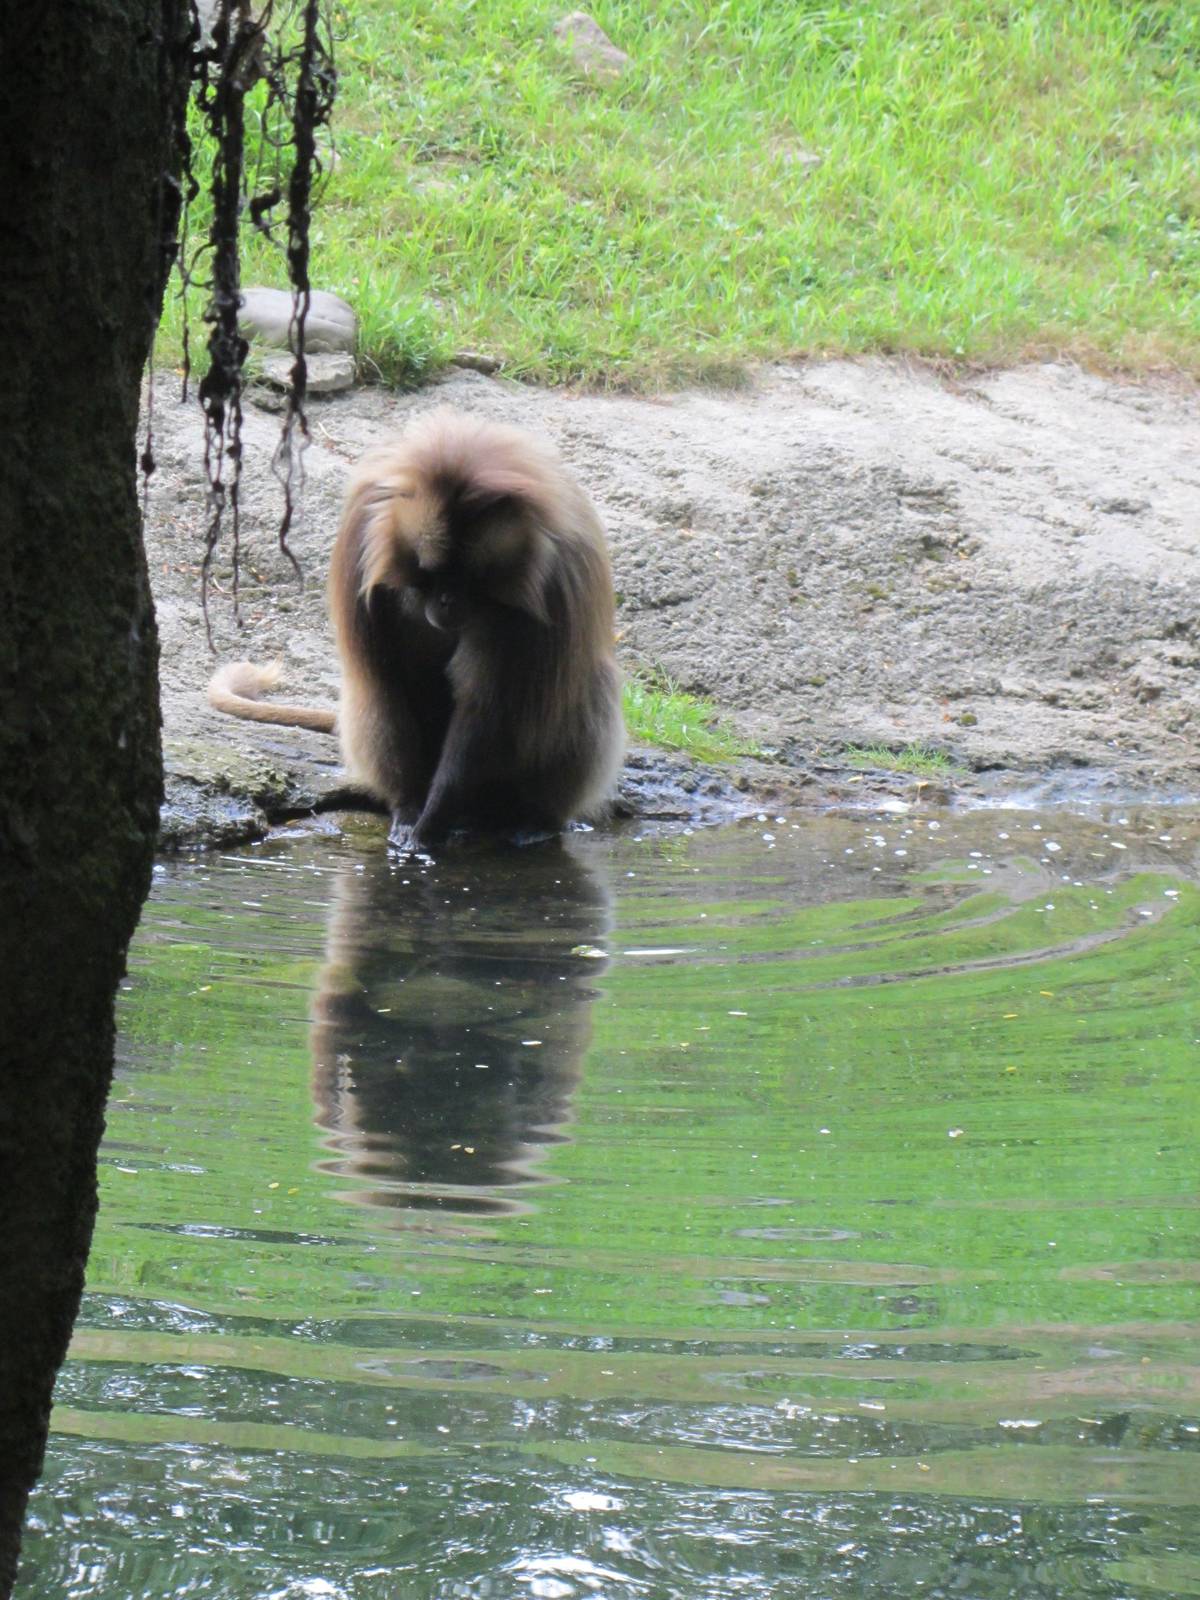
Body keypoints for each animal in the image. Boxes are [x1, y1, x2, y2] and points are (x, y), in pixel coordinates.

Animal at [208, 407, 625, 852]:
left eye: (469, 577)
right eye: (432, 573)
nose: (447, 604)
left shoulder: (544, 581)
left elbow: (487, 706)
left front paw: (436, 815)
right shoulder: (363, 544)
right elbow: (385, 683)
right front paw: (410, 812)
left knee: (581, 690)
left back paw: (535, 822)